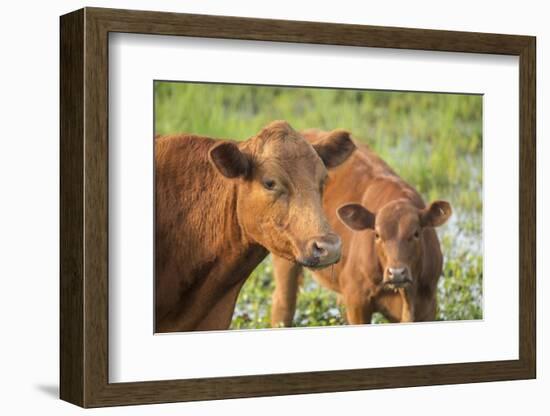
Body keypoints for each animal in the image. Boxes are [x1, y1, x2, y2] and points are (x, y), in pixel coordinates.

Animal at [272, 129, 452, 324]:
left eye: (416, 233)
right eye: (377, 235)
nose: (397, 273)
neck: (406, 298)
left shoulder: (428, 304)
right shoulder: (356, 299)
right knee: (283, 305)